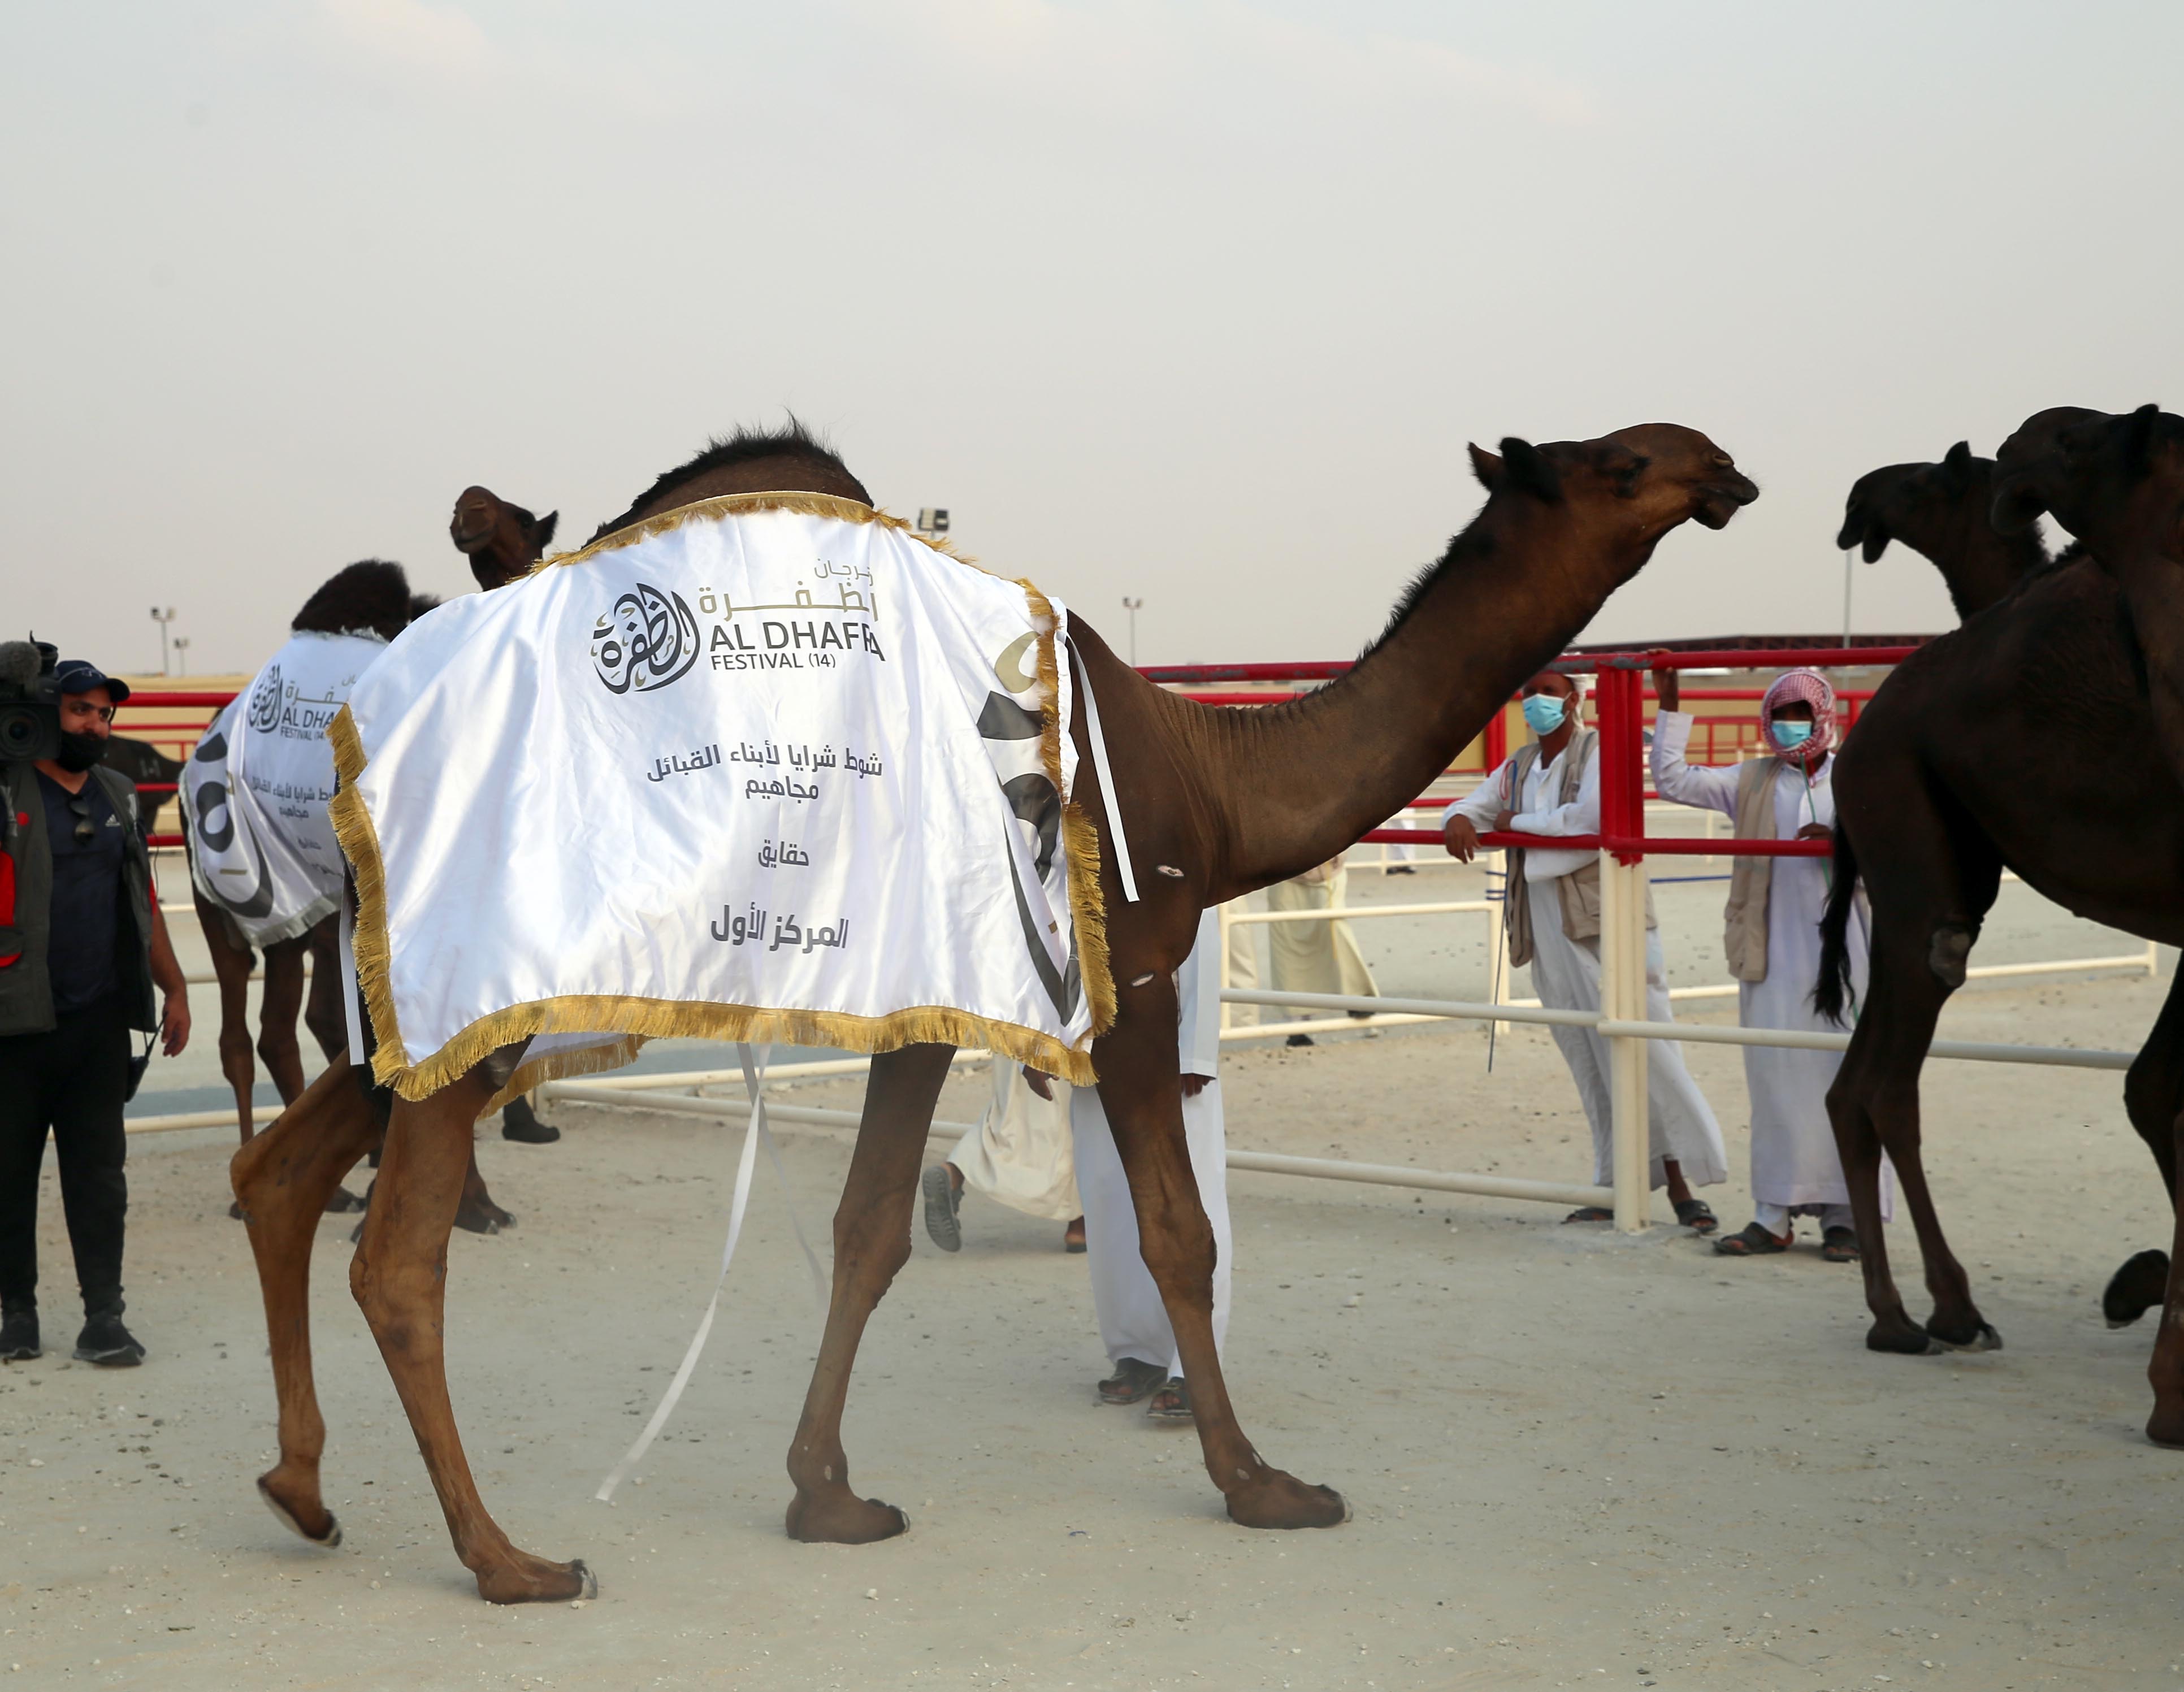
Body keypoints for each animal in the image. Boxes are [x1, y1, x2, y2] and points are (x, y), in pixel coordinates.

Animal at [230, 419, 1756, 1598]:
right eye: (1620, 462)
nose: (1723, 463)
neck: (1211, 776)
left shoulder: (916, 1003)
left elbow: (867, 1232)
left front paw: (825, 1492)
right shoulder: (1129, 979)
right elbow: (1179, 1235)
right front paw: (1260, 1480)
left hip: (402, 1009)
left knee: (279, 1174)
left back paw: (303, 1487)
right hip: (482, 998)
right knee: (398, 1260)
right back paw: (509, 1558)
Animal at [1817, 404, 2184, 1432]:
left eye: (1929, 478)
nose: (1856, 498)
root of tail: (1857, 735)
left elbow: (2155, 1089)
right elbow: (2156, 1088)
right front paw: (2146, 1291)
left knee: (1853, 1084)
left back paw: (1906, 1310)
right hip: (1917, 861)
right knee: (1882, 1080)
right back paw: (1937, 1311)